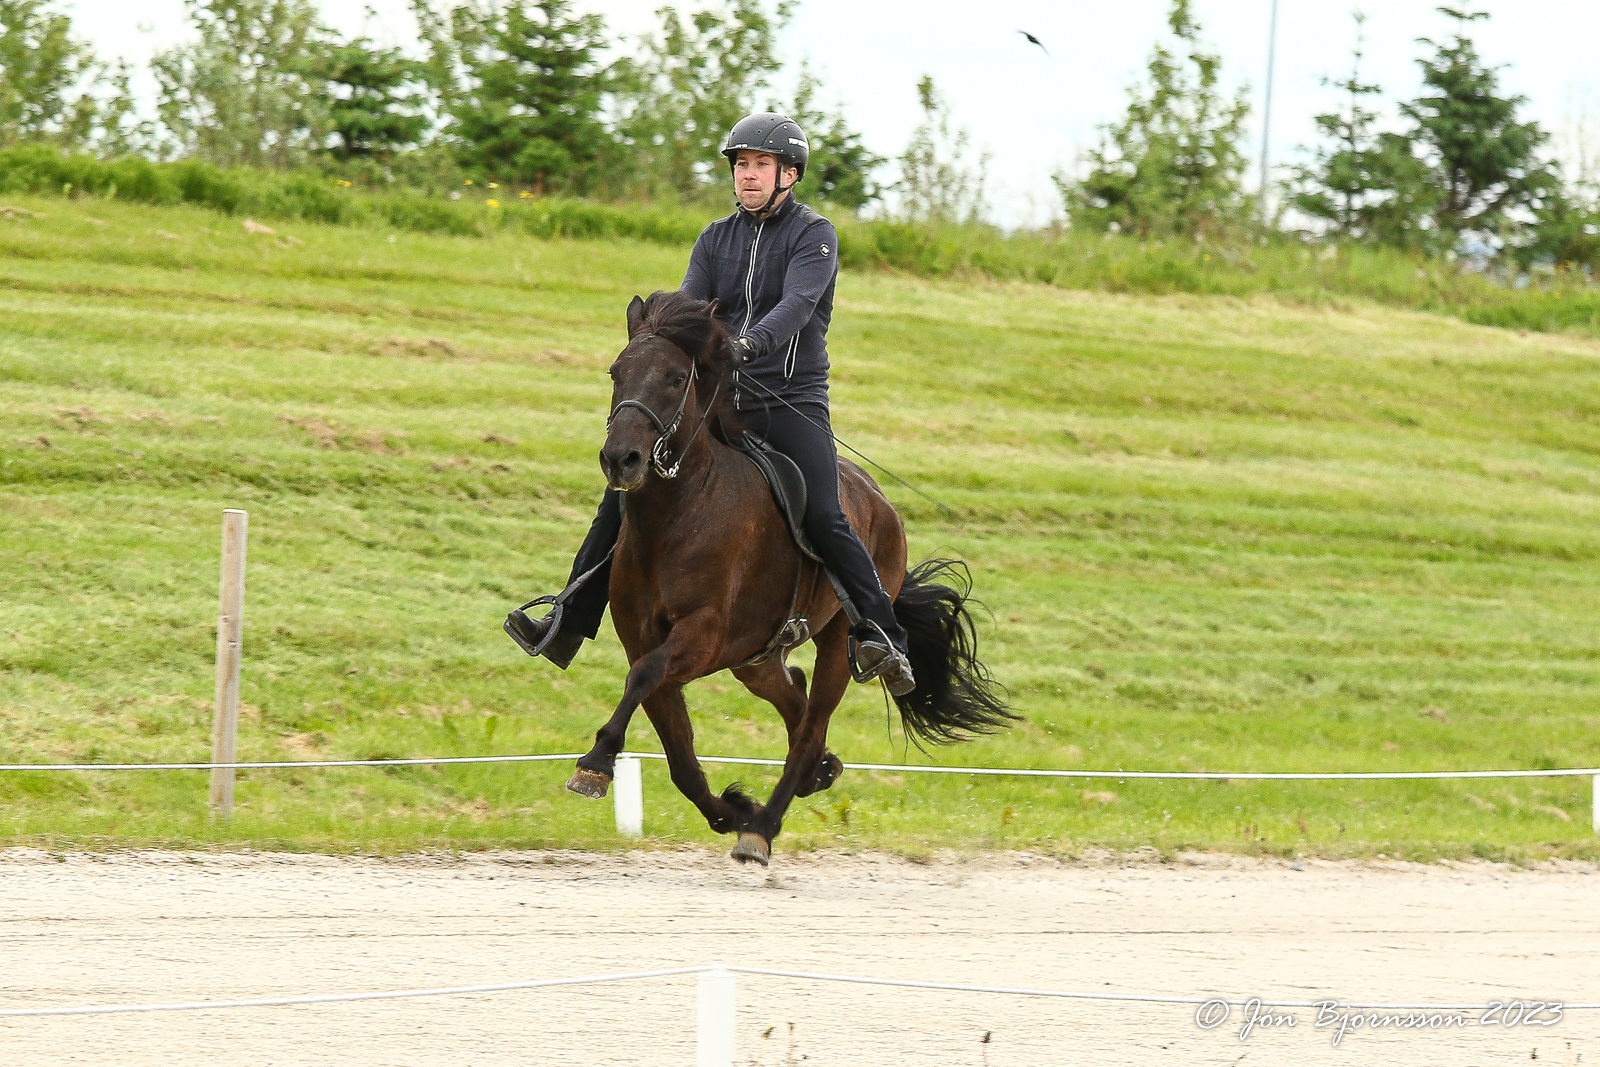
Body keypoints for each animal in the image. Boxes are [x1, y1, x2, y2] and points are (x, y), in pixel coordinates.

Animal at [563, 292, 1011, 870]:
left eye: (675, 377)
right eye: (617, 372)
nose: (622, 459)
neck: (681, 511)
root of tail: (881, 503)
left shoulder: (702, 635)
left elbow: (643, 677)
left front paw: (595, 762)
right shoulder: (645, 637)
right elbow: (679, 753)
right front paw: (731, 808)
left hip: (840, 641)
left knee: (811, 724)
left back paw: (766, 825)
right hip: (755, 660)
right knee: (794, 700)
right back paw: (814, 776)